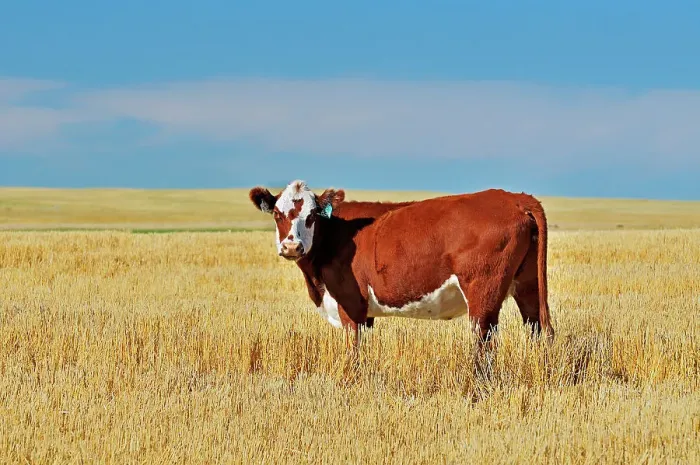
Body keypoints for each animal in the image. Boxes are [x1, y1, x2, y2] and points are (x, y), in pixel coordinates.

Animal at [249, 180, 554, 348]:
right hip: (528, 286)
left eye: (312, 215)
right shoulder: (365, 314)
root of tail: (515, 198)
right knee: (539, 329)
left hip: (483, 293)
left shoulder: (350, 305)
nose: (291, 246)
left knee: (483, 341)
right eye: (277, 214)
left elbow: (352, 353)